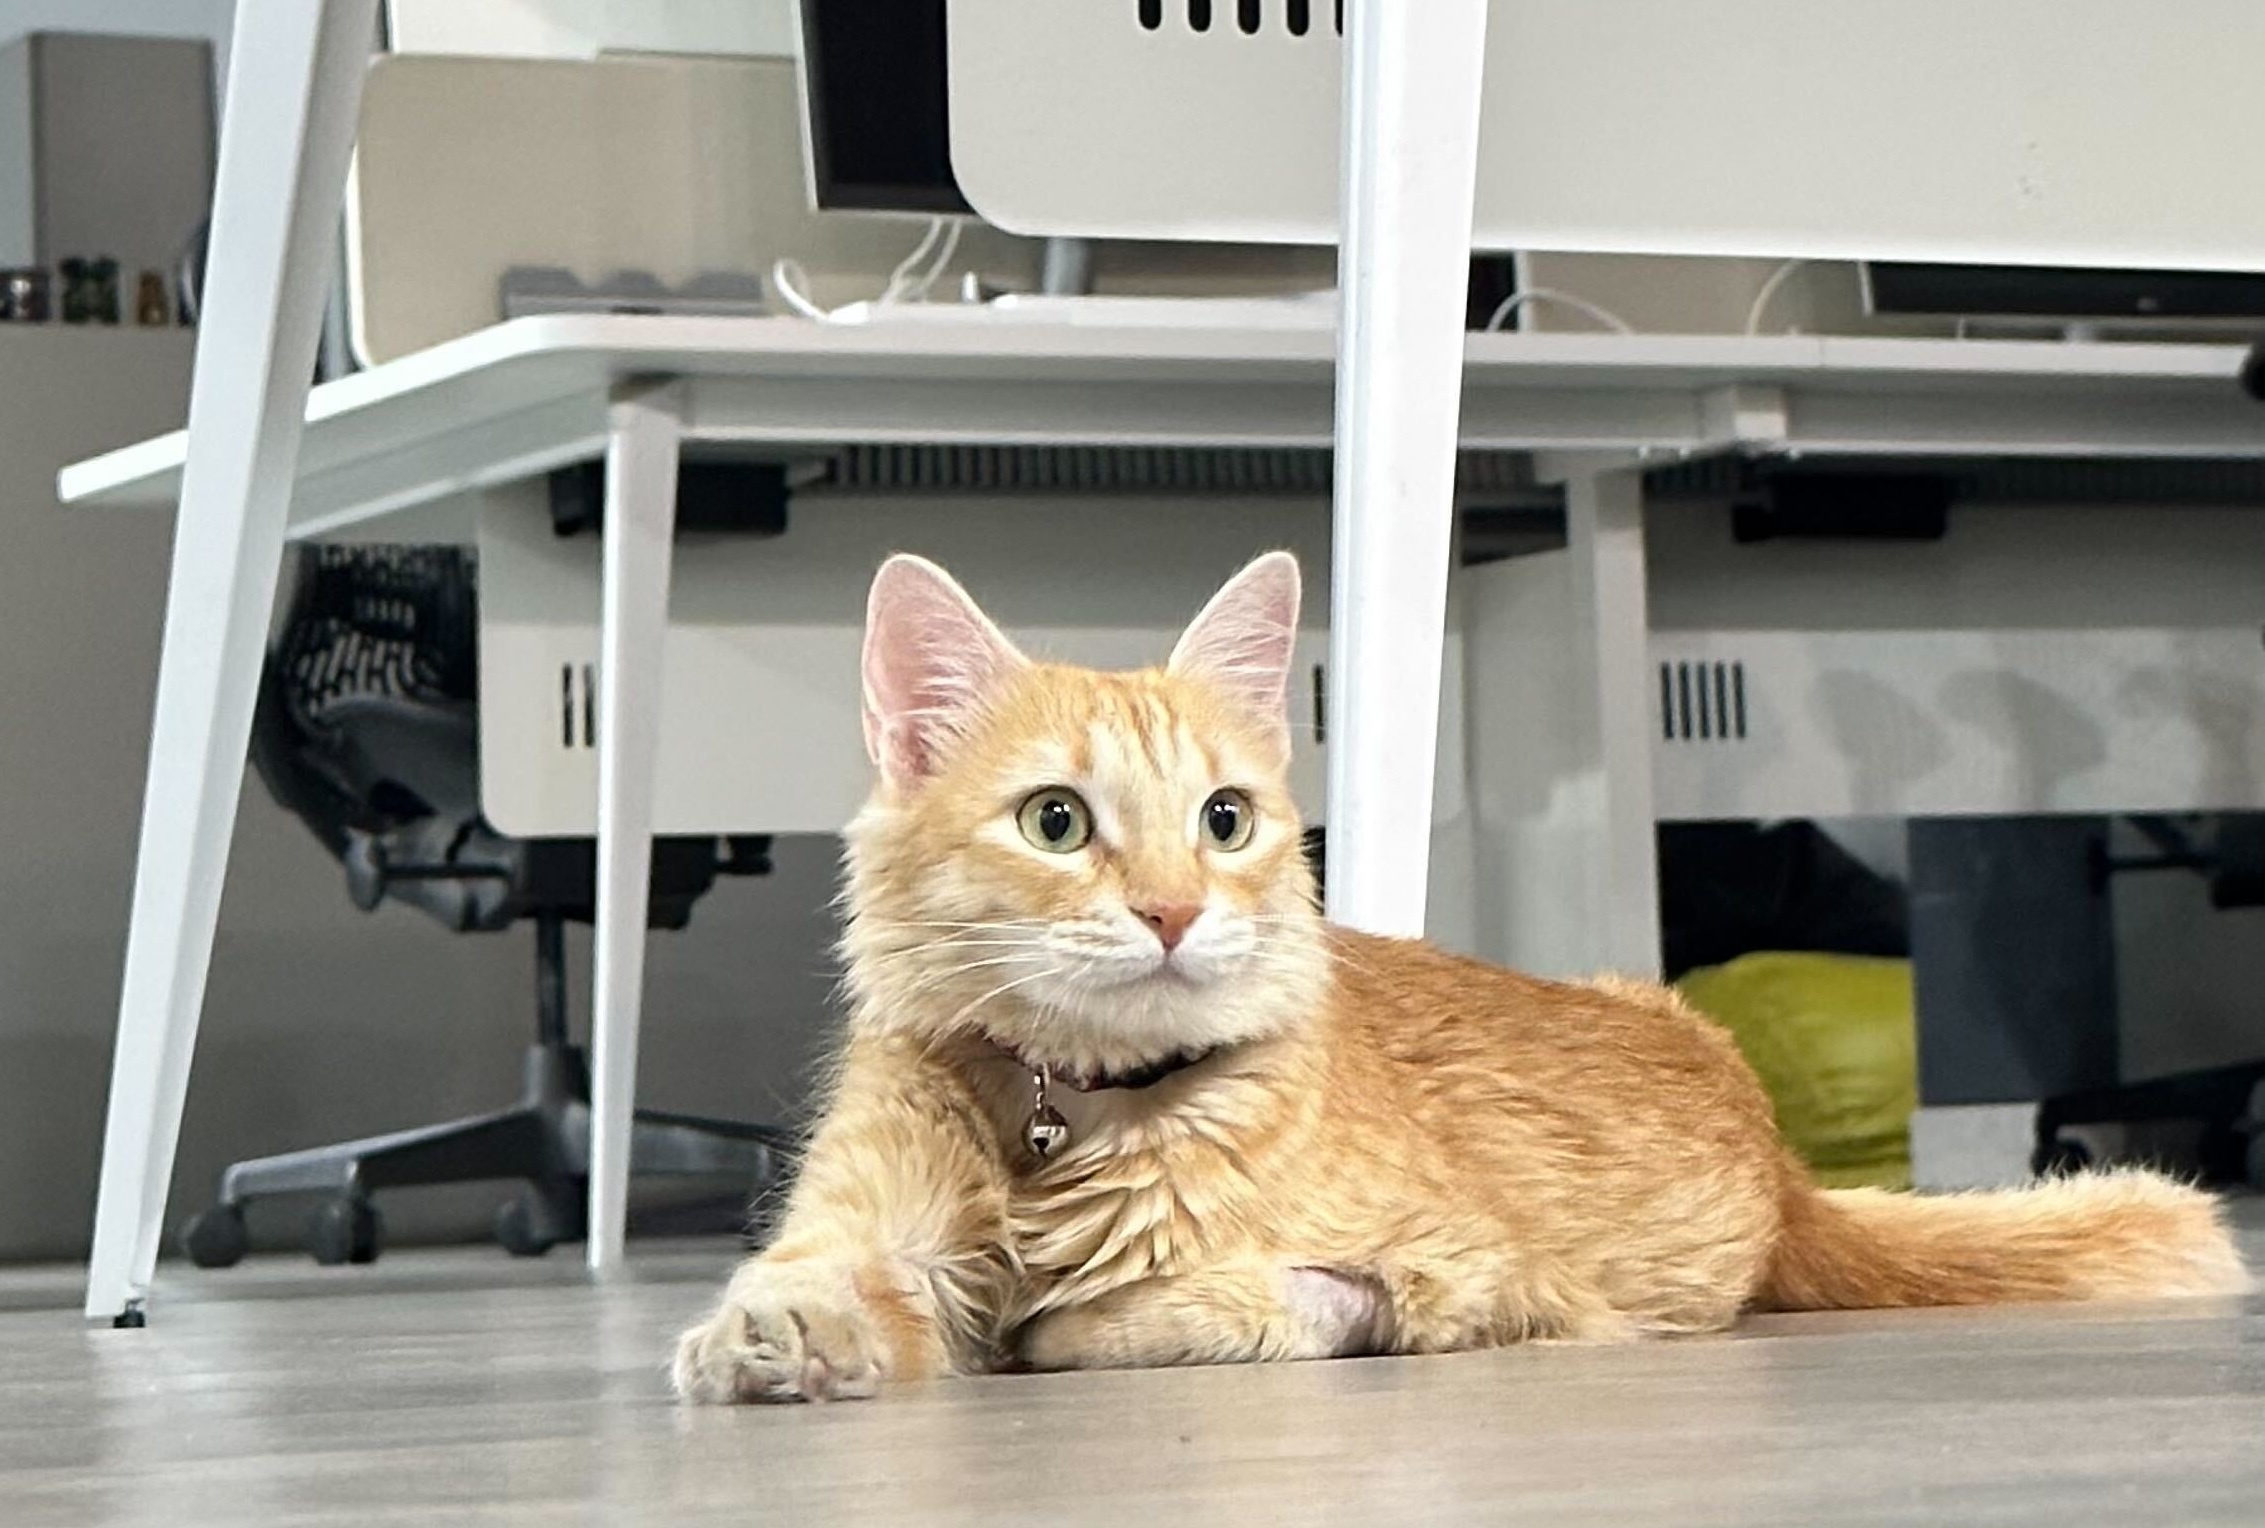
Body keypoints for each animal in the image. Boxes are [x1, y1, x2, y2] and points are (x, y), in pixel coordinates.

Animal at [661, 556, 2237, 1403]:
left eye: (1224, 819)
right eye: (1057, 821)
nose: (1173, 910)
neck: (1069, 1114)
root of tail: (1783, 1159)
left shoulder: (1448, 1275)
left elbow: (1144, 1312)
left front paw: (1041, 1322)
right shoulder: (862, 1220)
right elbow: (814, 1276)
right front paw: (769, 1340)